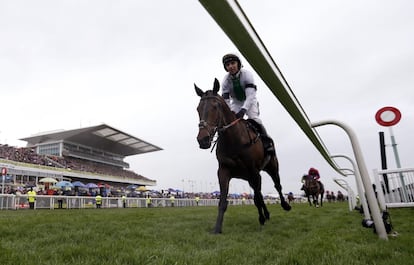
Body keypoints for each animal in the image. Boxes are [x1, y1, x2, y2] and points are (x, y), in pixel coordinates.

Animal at [194, 77, 292, 232]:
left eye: (215, 107)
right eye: (198, 108)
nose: (202, 139)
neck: (233, 140)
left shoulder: (253, 170)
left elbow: (257, 198)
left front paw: (261, 218)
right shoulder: (224, 170)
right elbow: (223, 201)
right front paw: (217, 228)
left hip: (272, 166)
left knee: (277, 185)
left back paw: (284, 205)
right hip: (251, 176)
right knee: (260, 192)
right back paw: (266, 214)